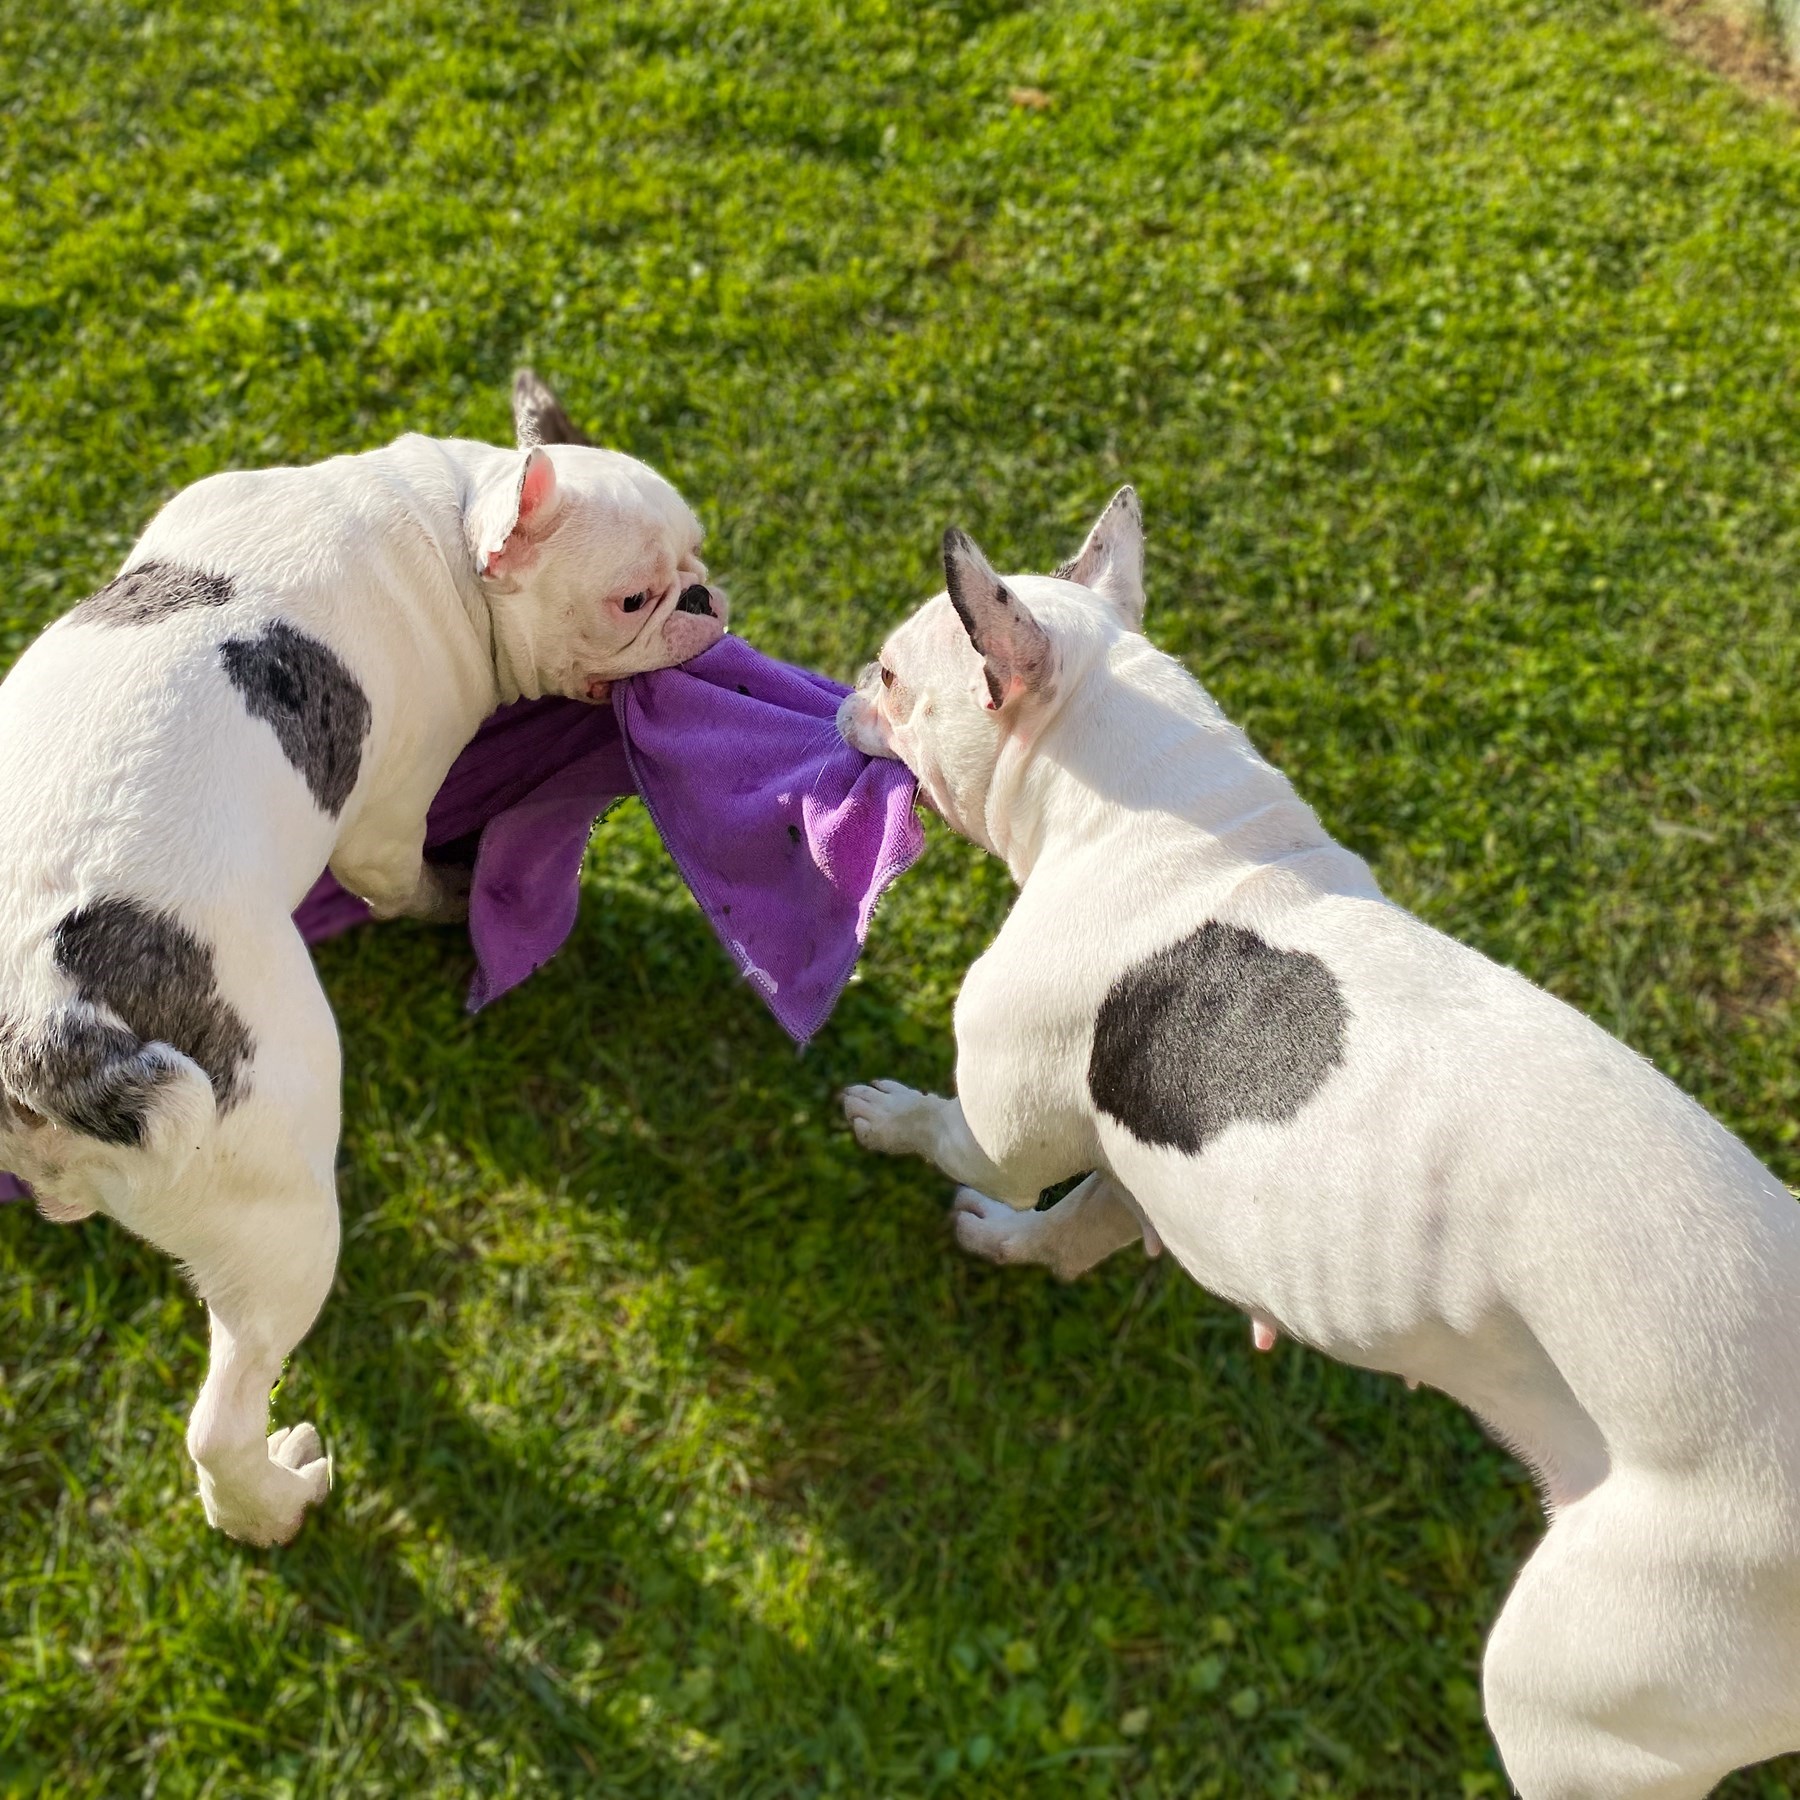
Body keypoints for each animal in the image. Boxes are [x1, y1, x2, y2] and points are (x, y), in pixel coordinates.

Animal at [0, 373, 725, 1544]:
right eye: (630, 602)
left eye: (698, 555)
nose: (705, 598)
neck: (455, 519)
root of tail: (55, 1027)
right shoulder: (388, 815)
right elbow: (408, 872)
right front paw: (455, 896)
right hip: (282, 1201)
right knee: (222, 1414)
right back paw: (271, 1506)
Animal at [838, 491, 1800, 1799]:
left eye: (893, 674)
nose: (844, 681)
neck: (1164, 824)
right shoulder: (1143, 1175)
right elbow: (1076, 1227)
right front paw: (1014, 1249)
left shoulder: (999, 1126)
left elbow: (955, 1142)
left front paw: (886, 1117)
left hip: (1590, 1680)